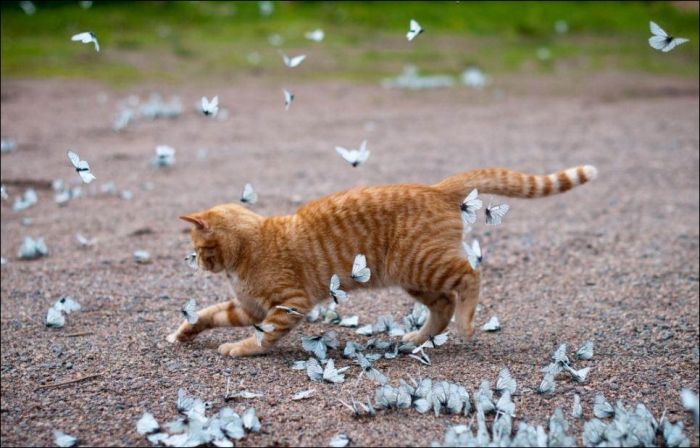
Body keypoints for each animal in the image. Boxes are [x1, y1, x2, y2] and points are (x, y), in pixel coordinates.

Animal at [168, 164, 596, 356]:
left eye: (198, 247)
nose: (195, 261)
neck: (247, 249)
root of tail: (435, 188)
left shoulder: (288, 304)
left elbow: (263, 336)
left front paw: (241, 348)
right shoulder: (248, 307)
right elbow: (207, 314)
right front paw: (184, 332)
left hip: (425, 265)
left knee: (470, 277)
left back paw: (467, 323)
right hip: (415, 279)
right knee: (443, 304)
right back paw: (417, 338)